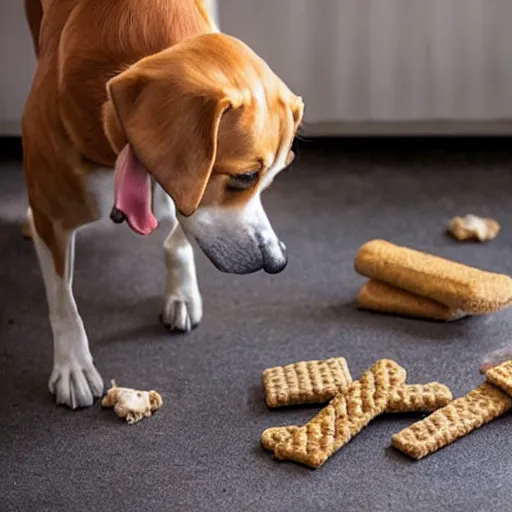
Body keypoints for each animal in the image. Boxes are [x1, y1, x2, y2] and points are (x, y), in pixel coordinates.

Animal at [22, 0, 304, 408]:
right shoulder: (52, 218)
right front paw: (72, 365)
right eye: (245, 177)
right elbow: (63, 300)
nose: (278, 262)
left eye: (270, 179)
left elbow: (179, 233)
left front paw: (181, 293)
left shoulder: (185, 193)